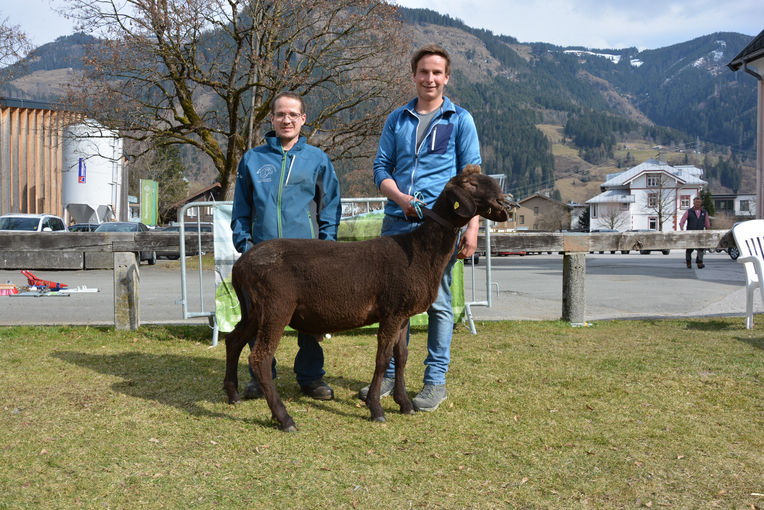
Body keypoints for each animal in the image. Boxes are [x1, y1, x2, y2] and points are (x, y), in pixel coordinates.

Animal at [221, 166, 510, 430]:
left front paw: (405, 404)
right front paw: (376, 408)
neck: (420, 250)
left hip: (254, 310)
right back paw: (284, 418)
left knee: (233, 340)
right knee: (259, 358)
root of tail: (241, 264)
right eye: (471, 184)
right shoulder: (392, 311)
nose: (505, 202)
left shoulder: (403, 314)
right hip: (275, 307)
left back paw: (233, 394)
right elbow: (382, 359)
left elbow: (401, 357)